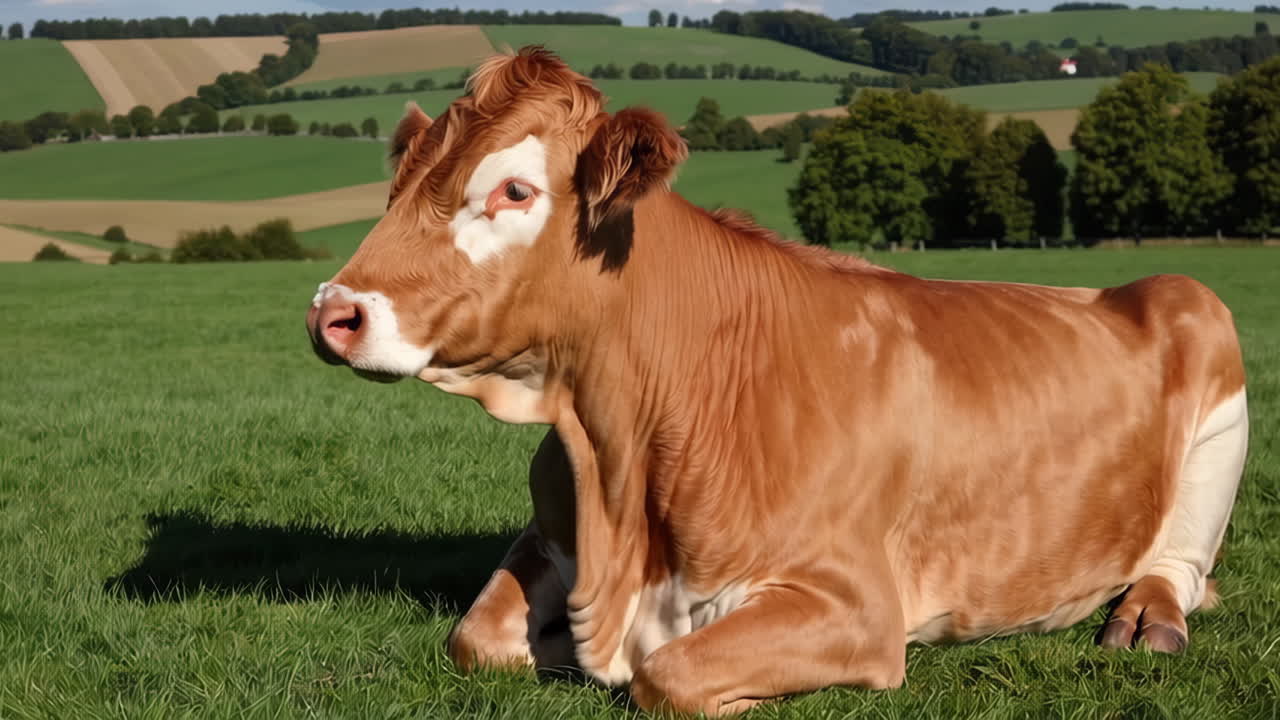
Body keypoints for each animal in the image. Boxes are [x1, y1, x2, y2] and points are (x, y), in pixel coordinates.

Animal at [305, 46, 1249, 716]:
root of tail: (1116, 286)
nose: (331, 313)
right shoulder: (552, 533)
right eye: (399, 181)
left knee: (1181, 566)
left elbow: (669, 673)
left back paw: (1146, 620)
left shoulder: (855, 605)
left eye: (513, 190)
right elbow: (473, 639)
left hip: (1209, 356)